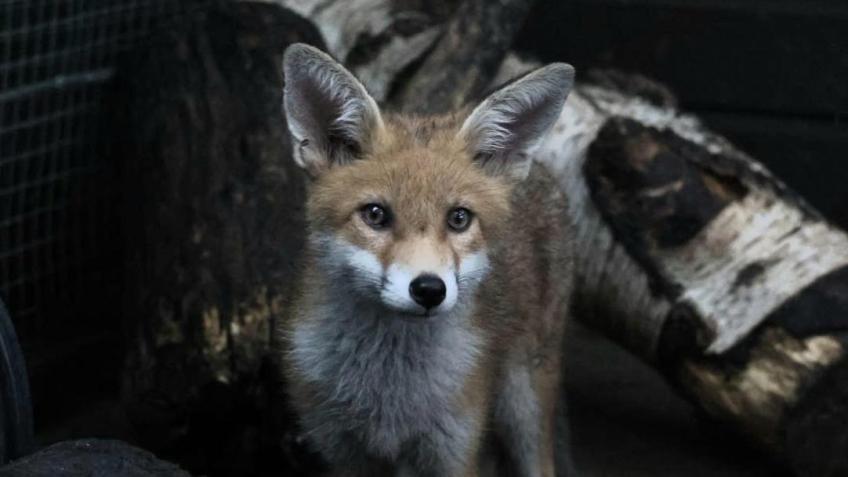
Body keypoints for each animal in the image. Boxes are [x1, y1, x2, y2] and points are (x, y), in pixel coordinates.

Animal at [278, 43, 576, 477]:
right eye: (375, 214)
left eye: (459, 218)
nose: (429, 289)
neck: (388, 394)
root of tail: (542, 171)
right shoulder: (343, 452)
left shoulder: (453, 450)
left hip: (524, 403)